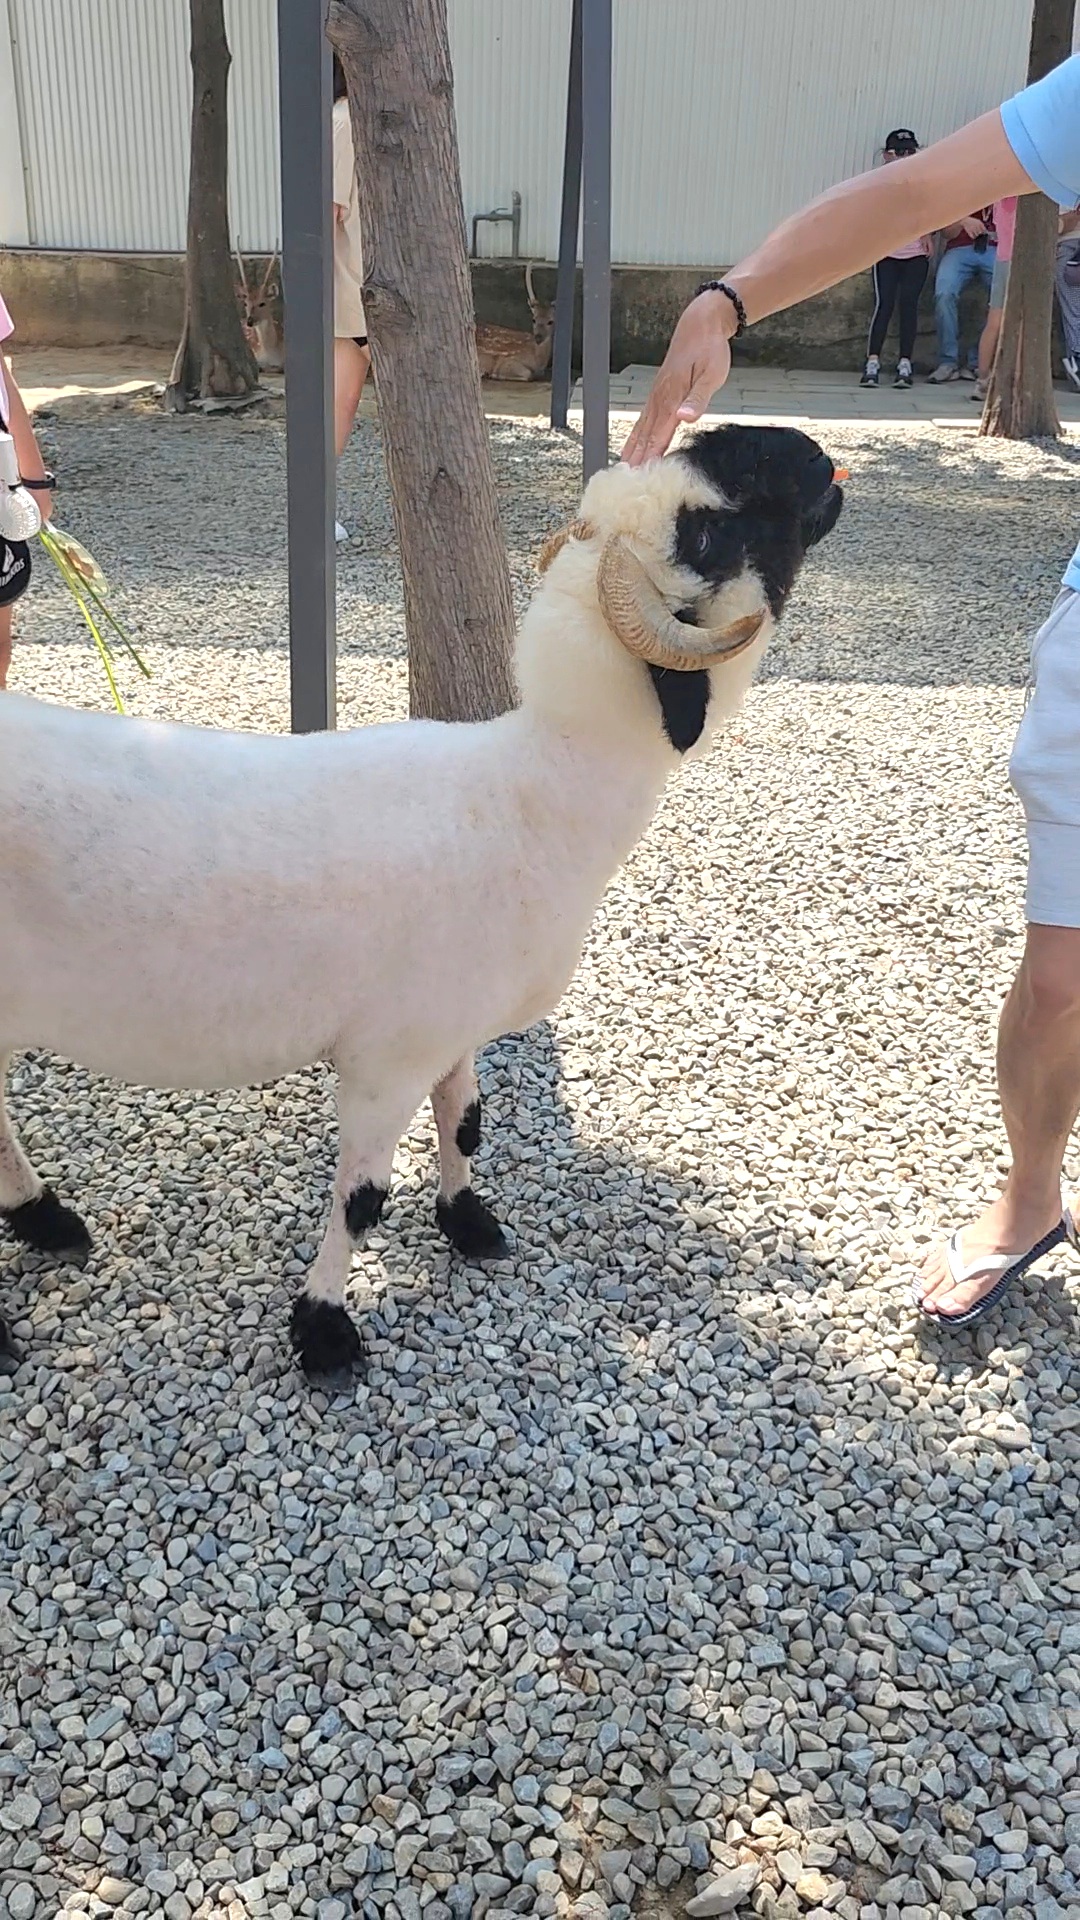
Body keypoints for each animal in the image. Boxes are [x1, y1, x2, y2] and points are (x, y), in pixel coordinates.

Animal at [0, 424, 841, 1382]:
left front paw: (470, 1225)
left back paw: (47, 1222)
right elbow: (361, 1197)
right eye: (709, 528)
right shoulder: (388, 1053)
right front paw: (325, 1331)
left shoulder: (451, 1026)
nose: (817, 454)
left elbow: (465, 1123)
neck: (531, 790)